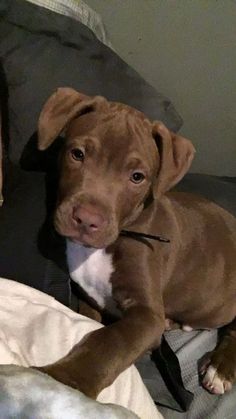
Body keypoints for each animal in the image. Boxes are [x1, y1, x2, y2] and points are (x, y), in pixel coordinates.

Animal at [36, 88, 236, 398]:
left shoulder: (146, 315)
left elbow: (109, 340)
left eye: (137, 177)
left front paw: (63, 381)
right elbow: (92, 323)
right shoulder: (89, 296)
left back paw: (220, 368)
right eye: (77, 154)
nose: (86, 219)